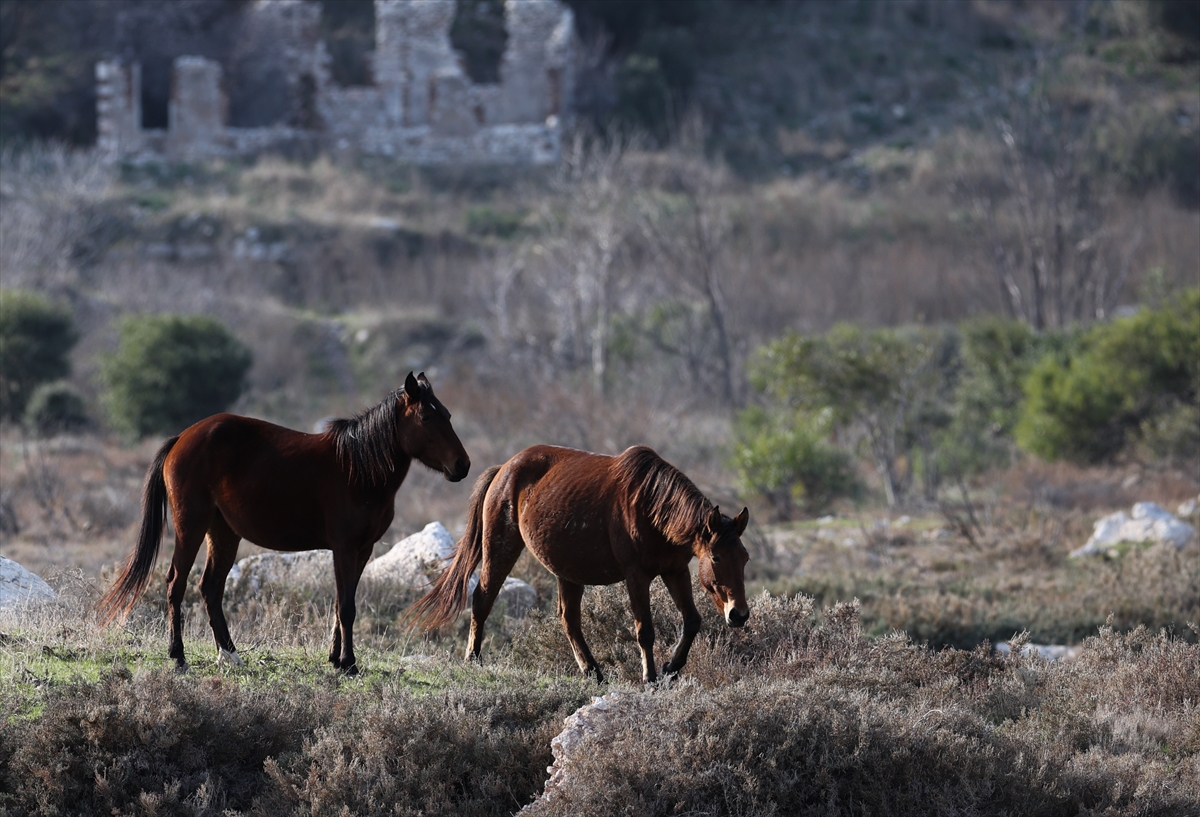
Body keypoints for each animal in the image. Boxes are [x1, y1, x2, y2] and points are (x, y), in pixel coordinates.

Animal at [99, 371, 468, 671]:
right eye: (426, 416)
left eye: (448, 415)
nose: (461, 465)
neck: (359, 469)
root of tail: (182, 438)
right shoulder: (345, 548)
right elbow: (346, 606)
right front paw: (348, 663)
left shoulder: (362, 550)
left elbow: (342, 601)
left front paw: (336, 658)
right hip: (191, 527)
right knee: (177, 584)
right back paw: (178, 656)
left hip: (223, 532)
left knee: (210, 588)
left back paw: (231, 655)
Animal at [412, 443, 748, 676]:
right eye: (716, 557)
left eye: (744, 558)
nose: (739, 614)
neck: (652, 508)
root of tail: (503, 469)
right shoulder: (636, 575)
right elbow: (645, 631)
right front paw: (650, 678)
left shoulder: (675, 570)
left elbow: (692, 621)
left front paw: (671, 669)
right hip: (501, 547)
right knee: (483, 598)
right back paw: (474, 658)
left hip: (567, 572)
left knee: (569, 619)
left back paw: (593, 672)